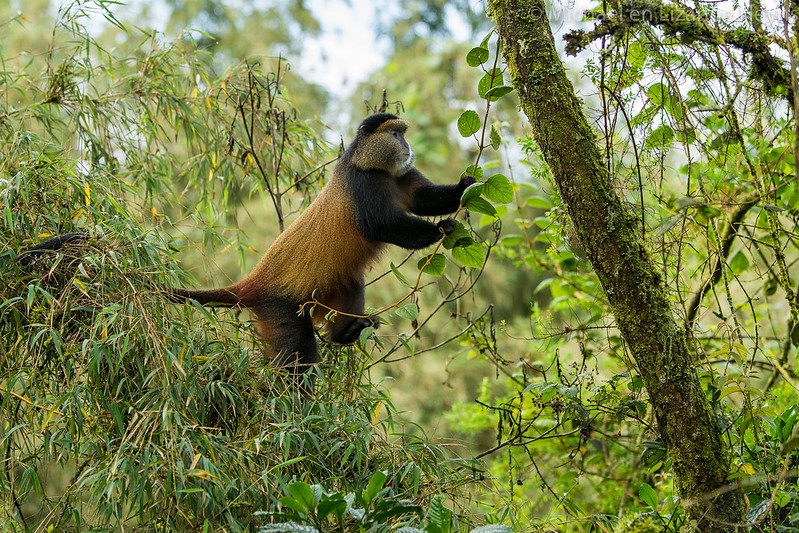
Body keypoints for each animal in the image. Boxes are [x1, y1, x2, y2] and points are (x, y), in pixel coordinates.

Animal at [170, 113, 475, 389]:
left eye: (402, 133)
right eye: (394, 134)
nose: (408, 146)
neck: (373, 167)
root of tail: (256, 280)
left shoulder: (403, 175)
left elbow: (424, 199)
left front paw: (466, 185)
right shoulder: (362, 182)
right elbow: (380, 226)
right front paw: (439, 229)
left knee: (352, 282)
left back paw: (344, 333)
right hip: (280, 308)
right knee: (297, 358)